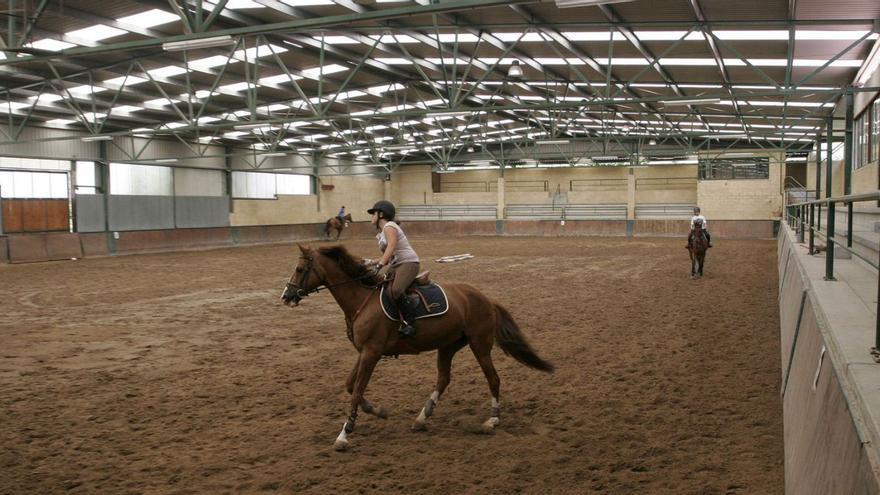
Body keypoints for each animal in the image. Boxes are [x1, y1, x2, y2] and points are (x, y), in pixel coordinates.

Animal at [284, 245, 556, 454]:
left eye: (300, 269)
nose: (285, 296)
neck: (361, 301)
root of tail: (486, 298)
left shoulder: (371, 353)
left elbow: (356, 390)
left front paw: (344, 435)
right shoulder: (364, 352)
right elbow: (352, 387)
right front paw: (378, 411)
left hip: (480, 345)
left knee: (493, 378)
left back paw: (492, 420)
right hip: (448, 346)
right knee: (444, 379)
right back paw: (422, 417)